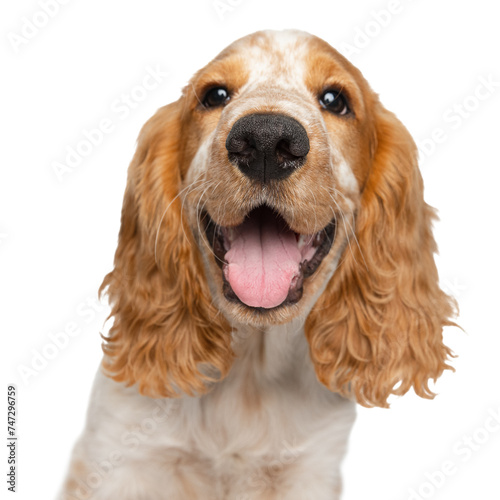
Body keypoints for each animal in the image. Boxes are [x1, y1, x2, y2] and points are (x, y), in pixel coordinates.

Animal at [60, 29, 456, 498]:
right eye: (214, 95)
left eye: (336, 100)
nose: (267, 139)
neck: (251, 370)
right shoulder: (117, 457)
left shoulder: (309, 470)